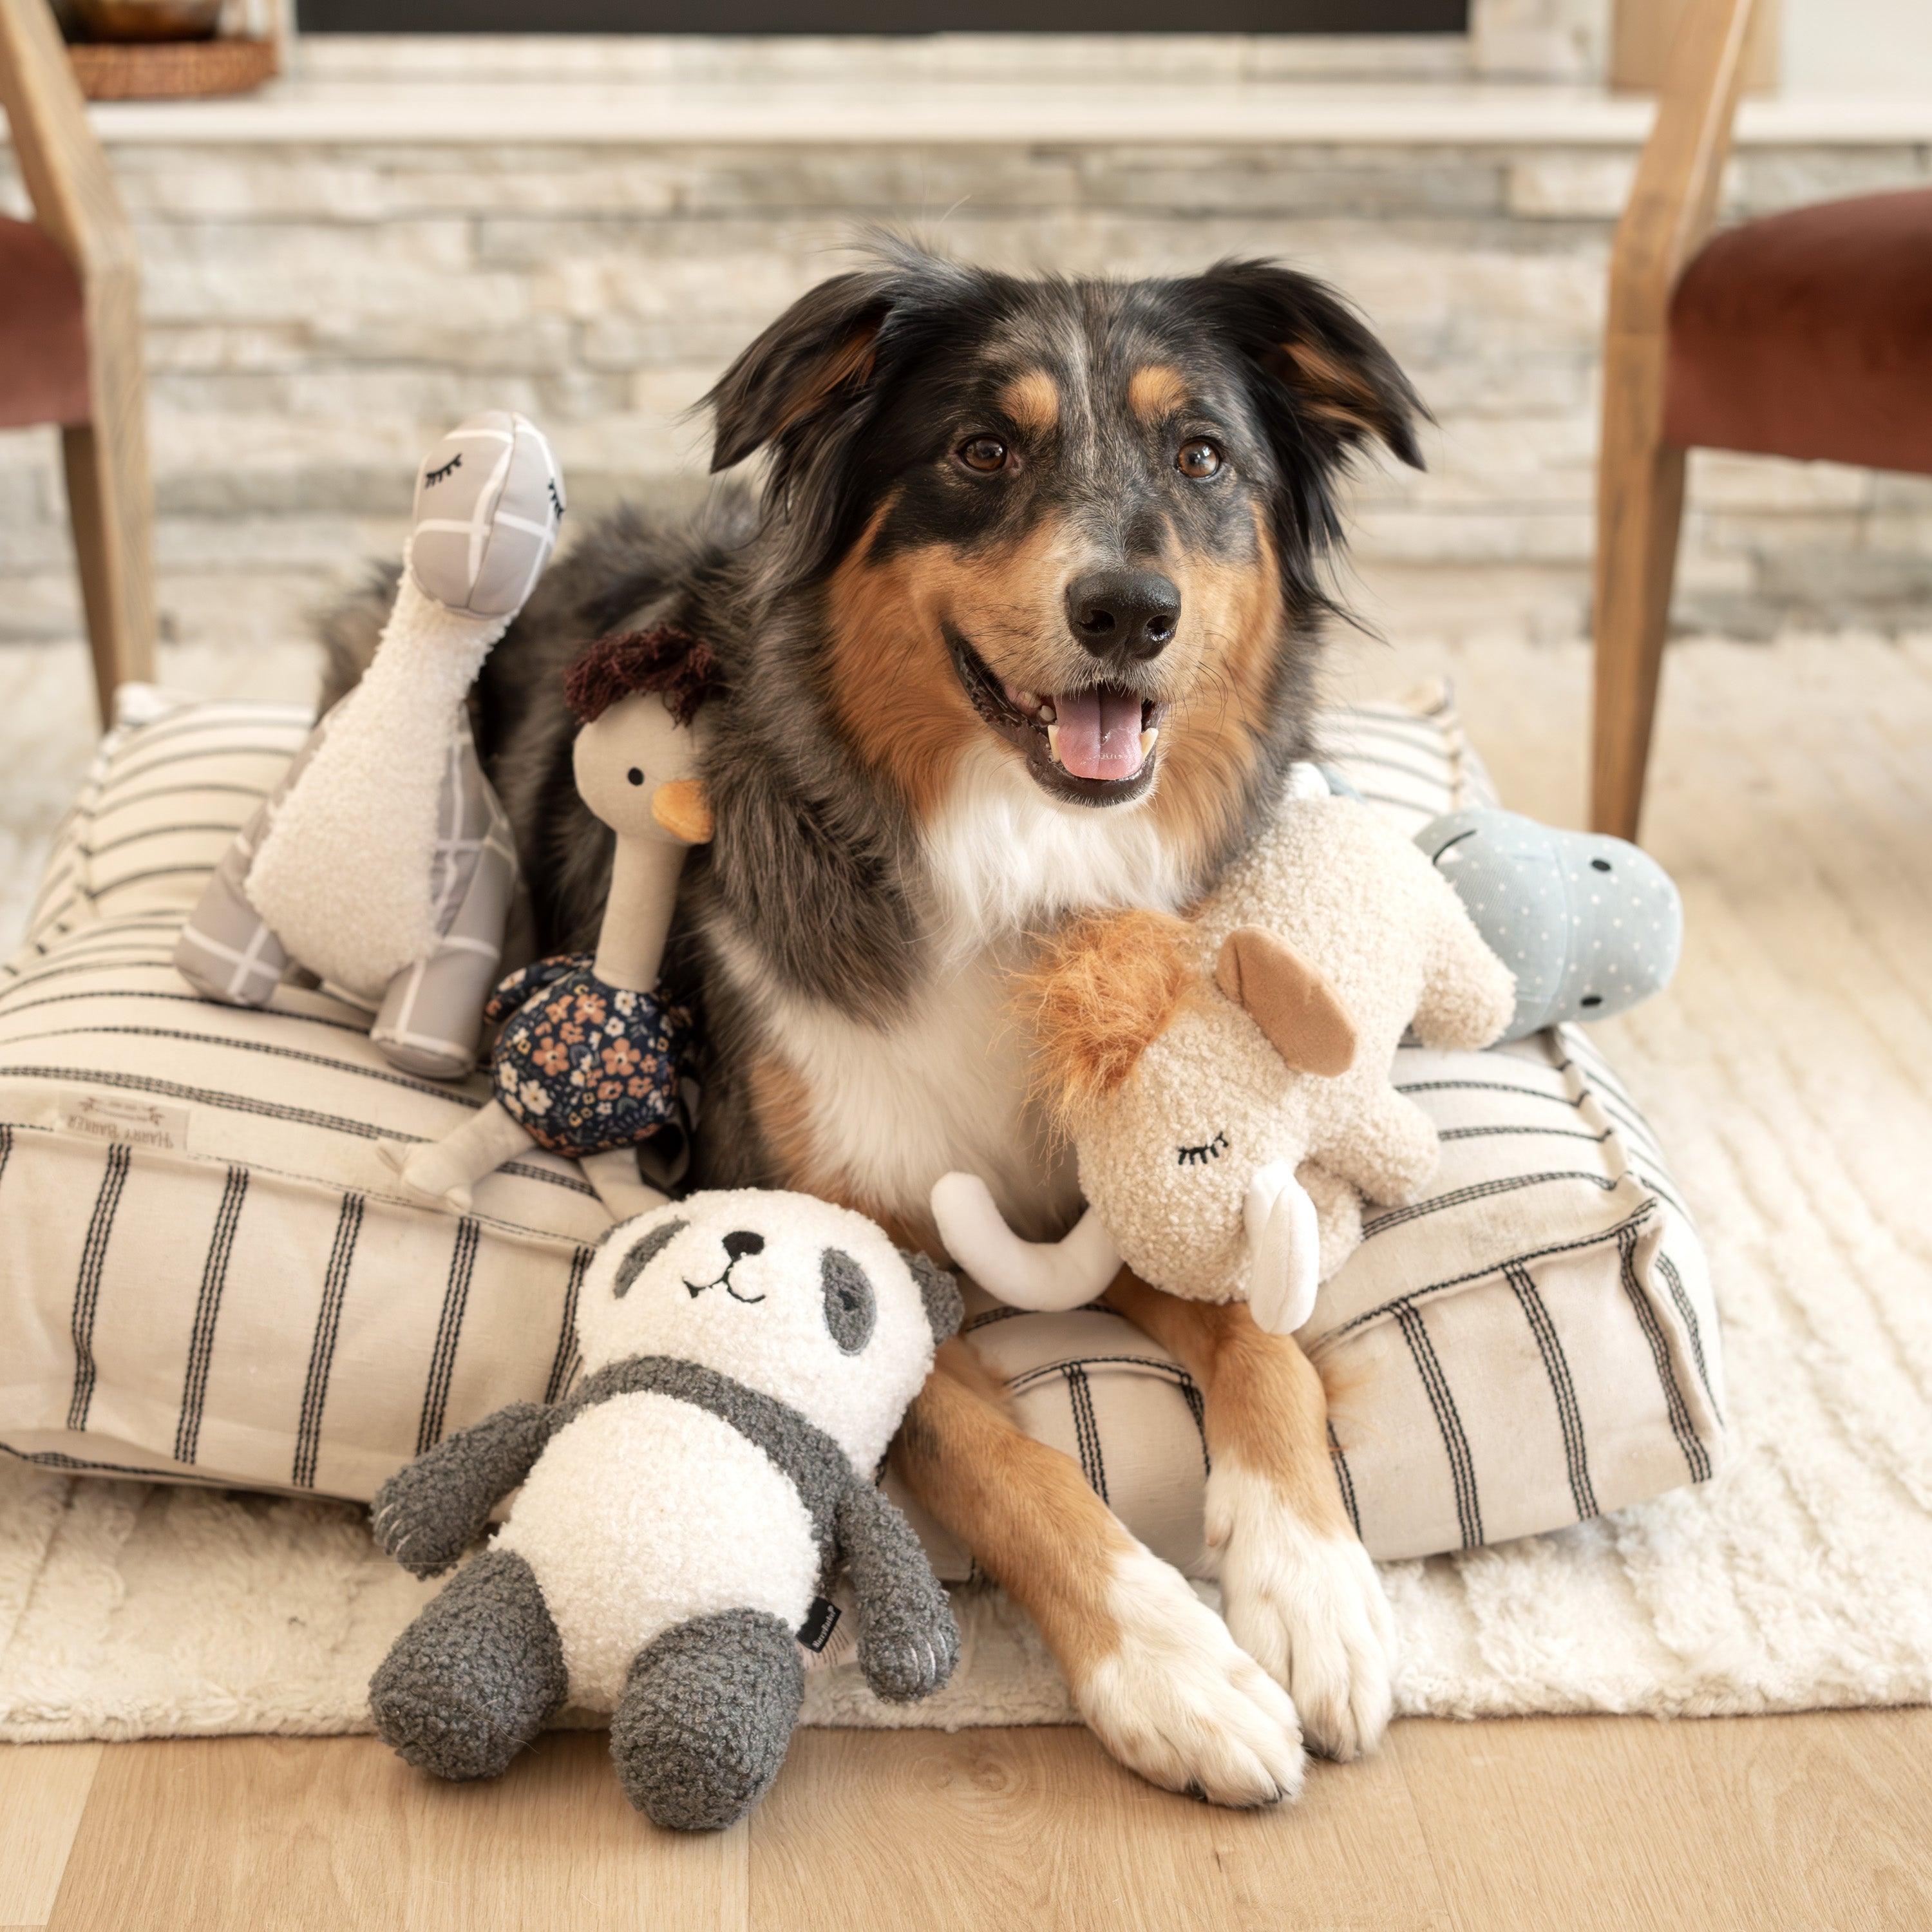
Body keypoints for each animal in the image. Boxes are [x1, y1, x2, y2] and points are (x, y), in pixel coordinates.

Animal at [328, 242, 1422, 1808]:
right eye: (981, 452)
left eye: (1204, 456)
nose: (1129, 611)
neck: (1015, 856)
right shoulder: (843, 1220)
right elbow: (1006, 1463)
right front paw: (1174, 1668)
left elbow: (1261, 1346)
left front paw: (1317, 1595)